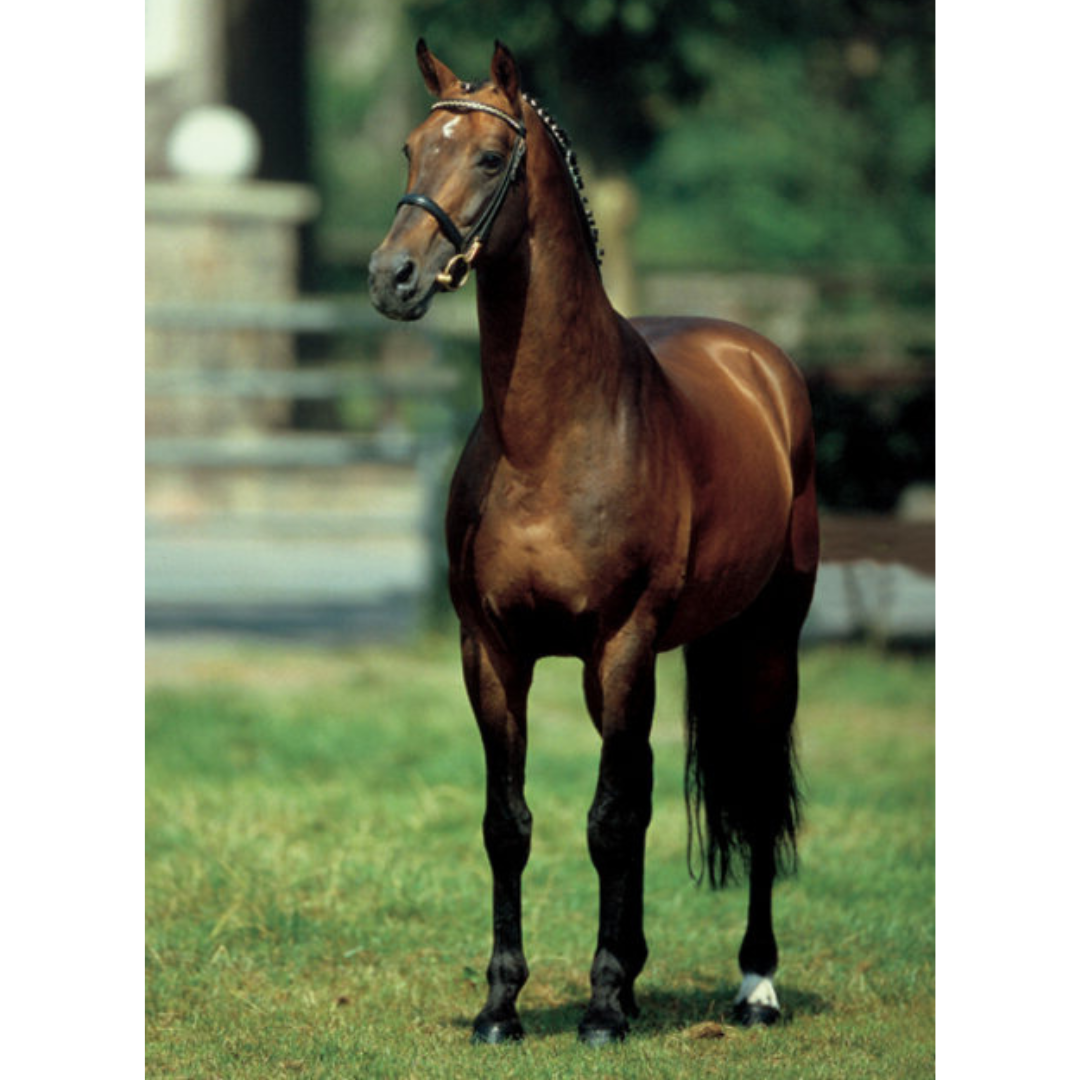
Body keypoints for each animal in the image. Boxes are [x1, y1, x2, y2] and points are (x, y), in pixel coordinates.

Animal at [369, 40, 819, 1046]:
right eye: (413, 147)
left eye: (490, 157)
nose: (393, 277)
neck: (553, 435)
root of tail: (758, 360)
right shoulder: (493, 652)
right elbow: (512, 822)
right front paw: (502, 1006)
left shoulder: (621, 644)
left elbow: (608, 820)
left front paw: (603, 1009)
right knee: (646, 790)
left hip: (765, 642)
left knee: (751, 791)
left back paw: (755, 986)